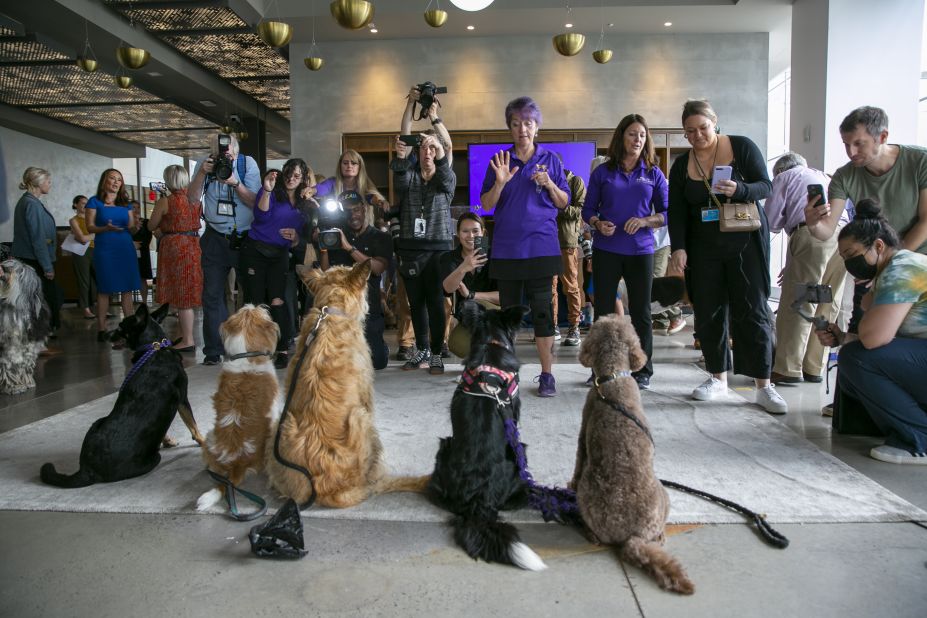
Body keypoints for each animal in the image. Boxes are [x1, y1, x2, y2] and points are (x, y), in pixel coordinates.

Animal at [0, 256, 50, 392]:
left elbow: (24, 364)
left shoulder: (29, 346)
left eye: (21, 271)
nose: (4, 267)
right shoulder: (8, 347)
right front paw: (13, 386)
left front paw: (26, 381)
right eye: (9, 264)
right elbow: (8, 365)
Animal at [572, 312, 696, 592]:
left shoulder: (584, 428)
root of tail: (632, 536)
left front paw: (569, 484)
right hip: (662, 496)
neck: (612, 376)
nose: (615, 313)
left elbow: (578, 462)